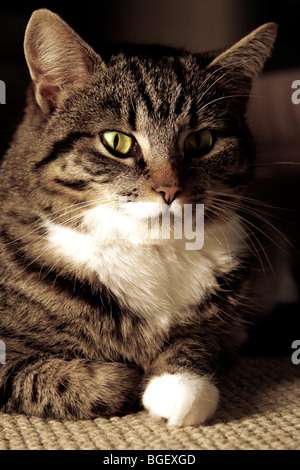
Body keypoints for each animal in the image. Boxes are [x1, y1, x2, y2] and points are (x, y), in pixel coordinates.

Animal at [0, 9, 278, 426]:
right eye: (117, 141)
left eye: (202, 141)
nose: (170, 190)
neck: (150, 250)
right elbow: (48, 376)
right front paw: (124, 378)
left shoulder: (220, 322)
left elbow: (201, 340)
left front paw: (179, 387)